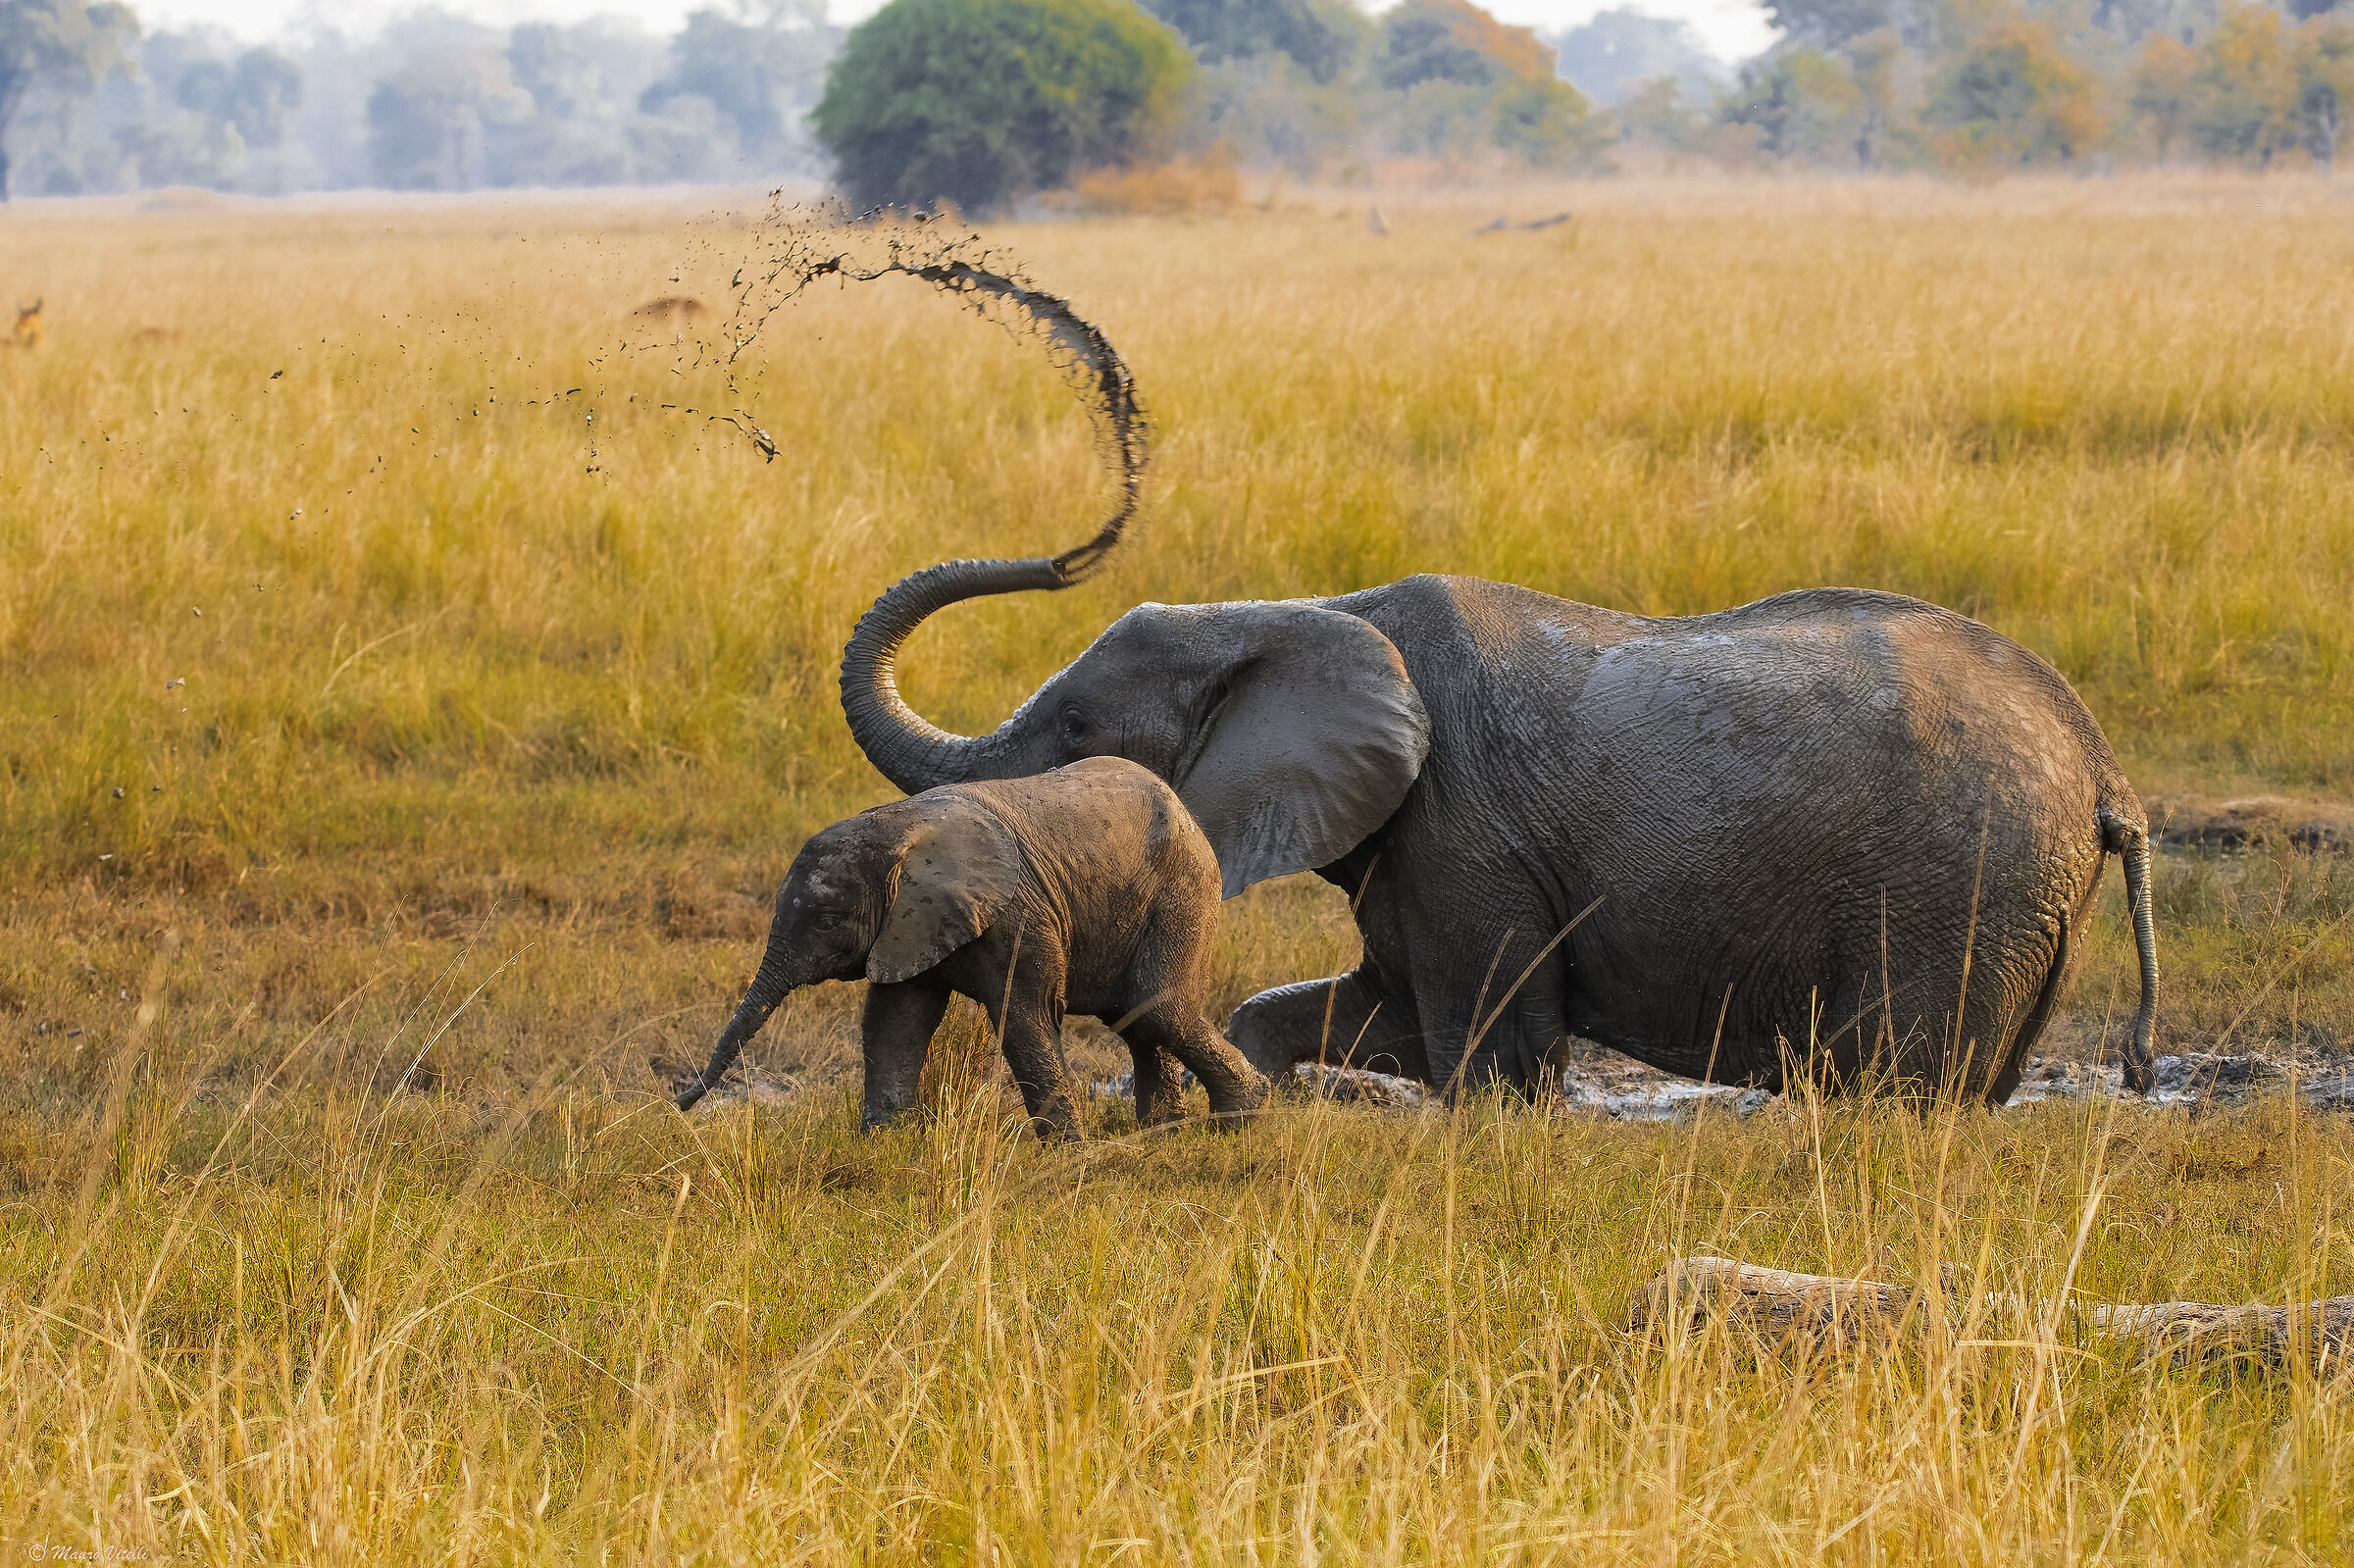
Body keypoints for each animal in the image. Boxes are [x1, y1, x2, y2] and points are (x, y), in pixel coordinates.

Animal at [671, 756, 1272, 1136]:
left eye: (827, 921)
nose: (677, 1105)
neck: (899, 826)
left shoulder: (1017, 917)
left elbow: (1025, 1017)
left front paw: (1068, 1153)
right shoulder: (908, 926)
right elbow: (895, 1023)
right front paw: (882, 1143)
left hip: (1183, 890)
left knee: (1155, 1007)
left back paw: (1242, 1120)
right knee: (1137, 1017)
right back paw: (1163, 1131)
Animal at [834, 558, 2162, 1106]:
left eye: (1072, 726)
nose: (1063, 558)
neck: (1299, 611)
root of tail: (2107, 768)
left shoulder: (1465, 833)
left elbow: (1491, 1057)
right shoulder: (1410, 847)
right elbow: (1378, 1018)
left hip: (1960, 880)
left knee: (1900, 1084)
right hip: (2019, 897)